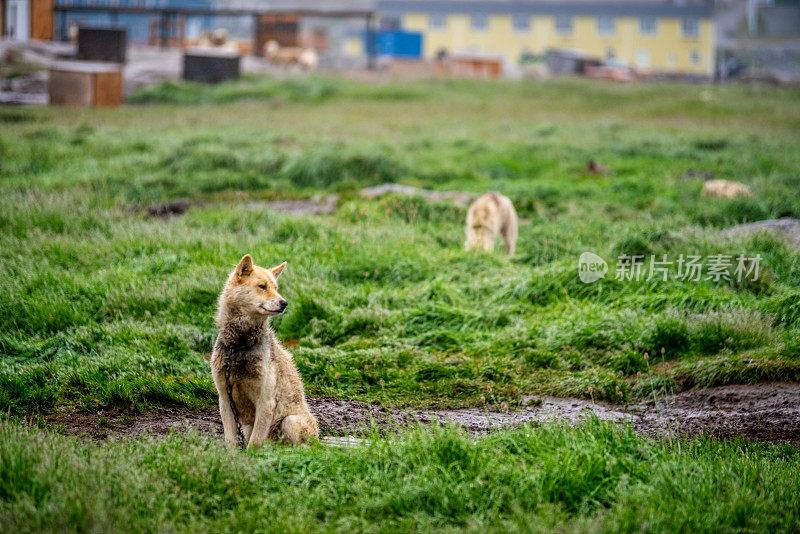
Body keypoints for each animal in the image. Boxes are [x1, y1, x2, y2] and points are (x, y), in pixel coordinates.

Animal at [212, 255, 318, 448]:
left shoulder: (266, 401)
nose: (284, 303)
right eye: (262, 286)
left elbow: (255, 442)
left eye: (276, 288)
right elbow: (230, 439)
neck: (240, 346)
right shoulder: (224, 398)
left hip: (290, 421)